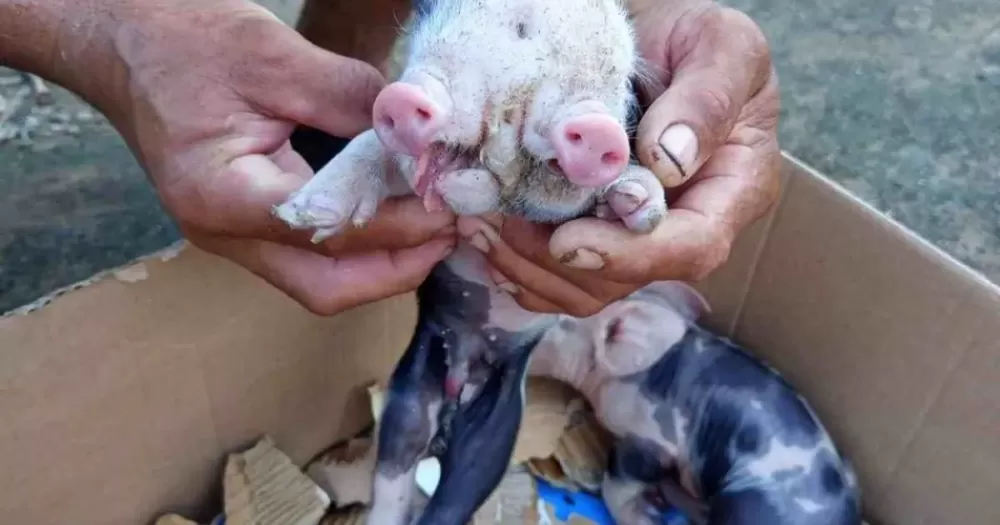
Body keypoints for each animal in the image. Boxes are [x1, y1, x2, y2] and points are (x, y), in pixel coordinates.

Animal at [271, 0, 668, 524]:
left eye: (622, 83)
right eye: (521, 29)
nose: (596, 125)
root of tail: (461, 380)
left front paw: (635, 201)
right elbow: (376, 147)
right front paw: (304, 213)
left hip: (495, 433)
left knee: (457, 491)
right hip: (409, 397)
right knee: (396, 468)